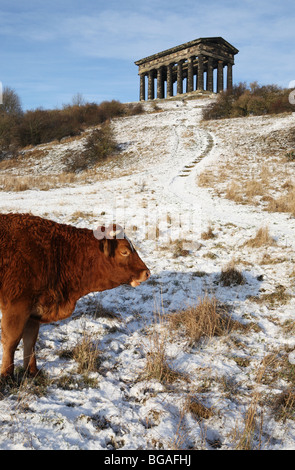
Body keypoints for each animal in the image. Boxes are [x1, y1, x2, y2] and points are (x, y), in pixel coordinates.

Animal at [0, 213, 149, 378]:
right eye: (124, 251)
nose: (147, 272)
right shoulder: (16, 307)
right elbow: (11, 341)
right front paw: (6, 375)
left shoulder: (34, 311)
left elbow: (30, 340)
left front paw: (32, 371)